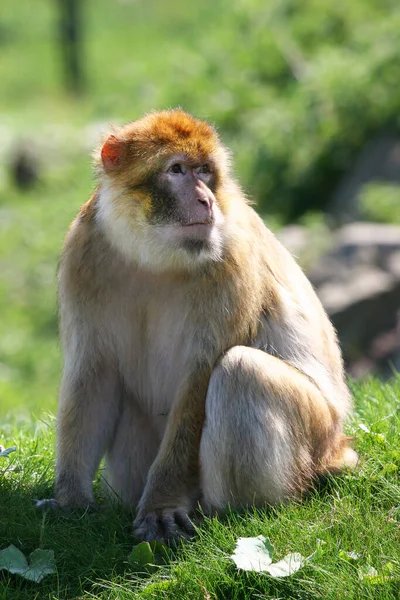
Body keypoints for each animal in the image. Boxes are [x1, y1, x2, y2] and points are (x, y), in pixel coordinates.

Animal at [48, 109, 358, 544]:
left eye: (205, 172)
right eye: (177, 169)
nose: (206, 200)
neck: (152, 255)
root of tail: (337, 446)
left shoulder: (232, 257)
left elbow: (200, 381)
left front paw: (161, 505)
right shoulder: (83, 251)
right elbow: (94, 374)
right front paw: (70, 501)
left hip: (314, 438)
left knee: (241, 371)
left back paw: (234, 515)